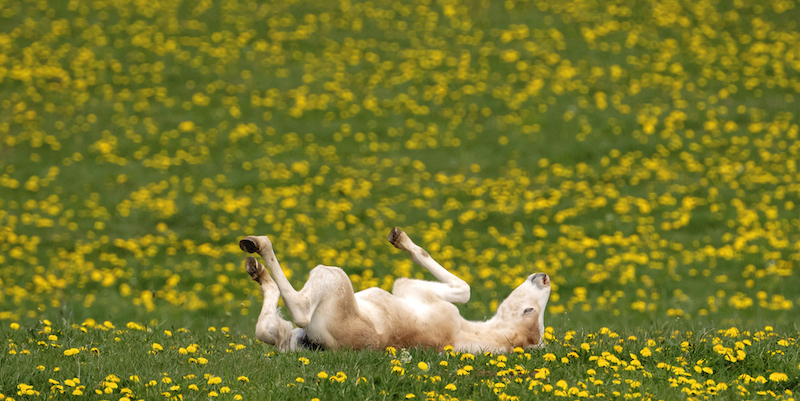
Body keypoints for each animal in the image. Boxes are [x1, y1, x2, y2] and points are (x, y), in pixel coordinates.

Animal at [238, 227, 552, 352]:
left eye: (529, 310)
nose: (545, 277)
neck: (465, 331)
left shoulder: (412, 291)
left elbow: (464, 288)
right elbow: (465, 289)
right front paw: (400, 239)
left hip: (333, 278)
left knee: (299, 310)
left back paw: (257, 246)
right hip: (287, 336)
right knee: (267, 327)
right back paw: (258, 272)